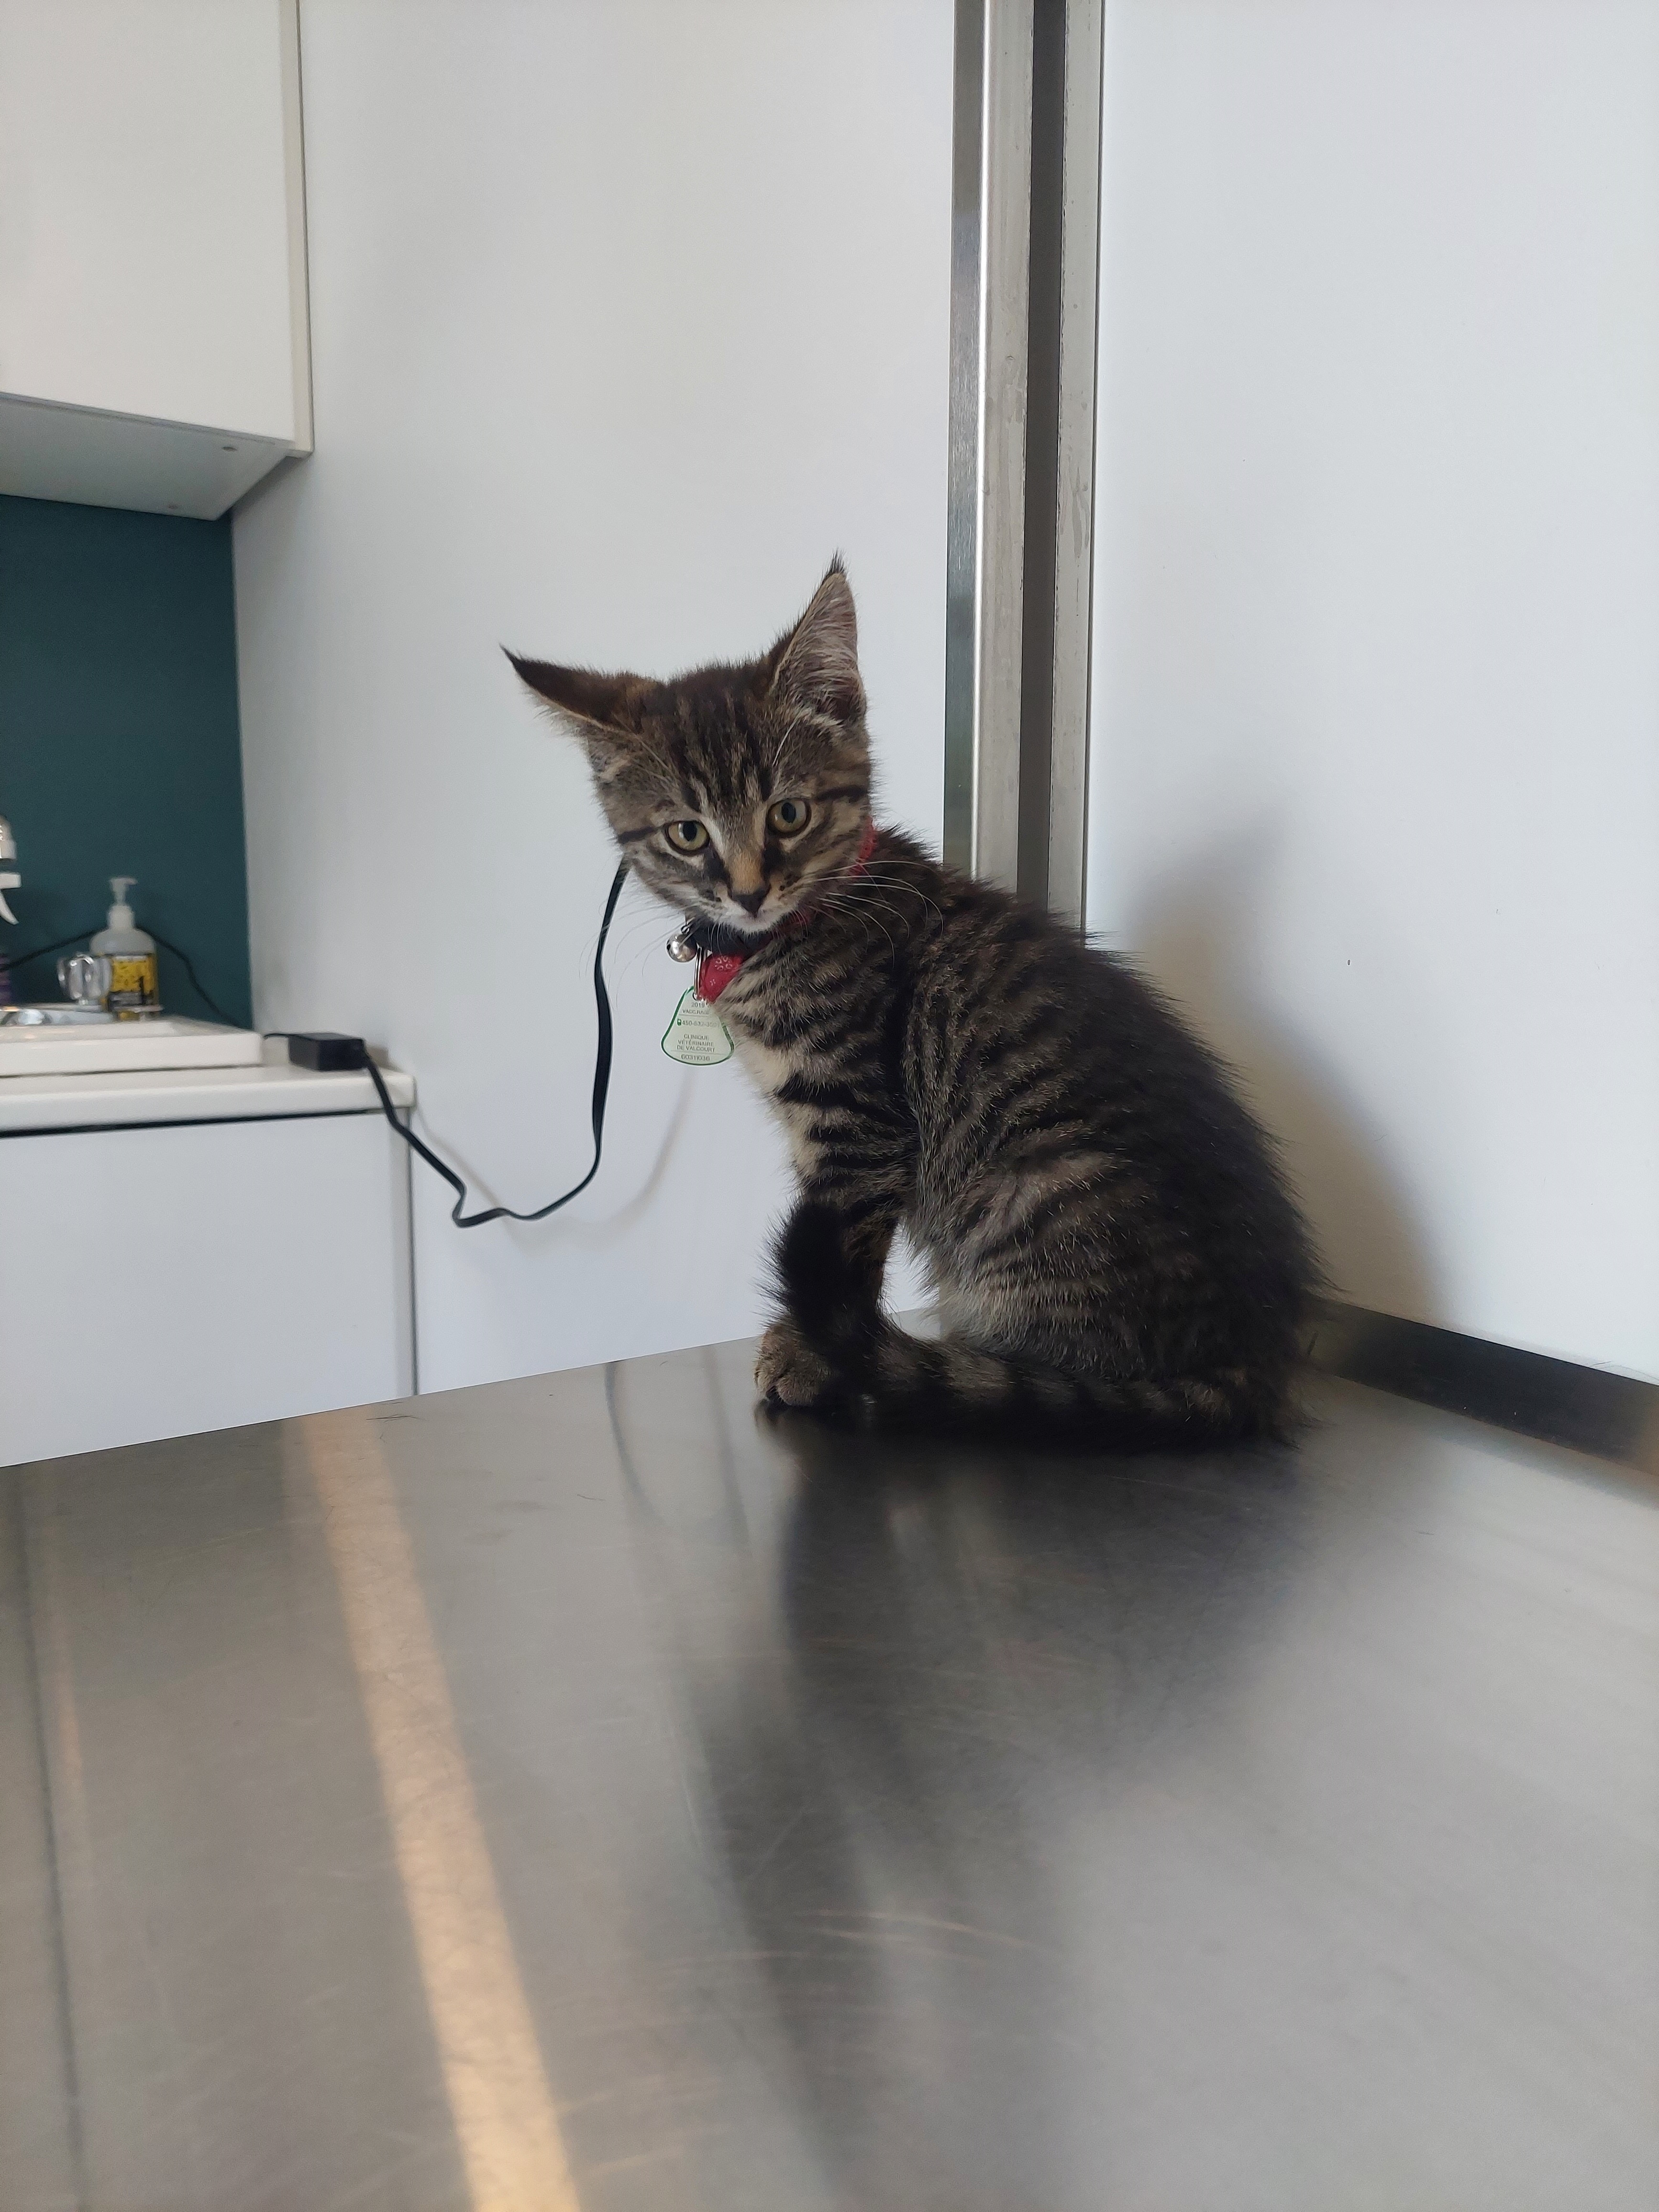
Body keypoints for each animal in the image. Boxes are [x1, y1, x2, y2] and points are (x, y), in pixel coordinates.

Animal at [511, 562, 1318, 1445]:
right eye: (687, 834)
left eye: (788, 813)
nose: (750, 891)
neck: (788, 933)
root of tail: (1251, 1362)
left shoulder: (856, 1121)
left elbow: (848, 1249)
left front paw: (817, 1357)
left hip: (1031, 1193)